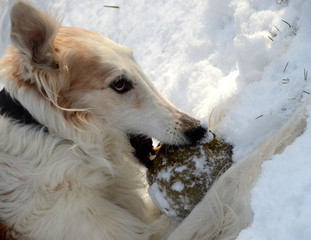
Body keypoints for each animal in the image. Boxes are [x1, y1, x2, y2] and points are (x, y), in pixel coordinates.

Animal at [0, 1, 308, 240]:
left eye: (138, 66)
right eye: (120, 84)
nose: (198, 131)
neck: (55, 135)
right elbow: (229, 181)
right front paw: (298, 119)